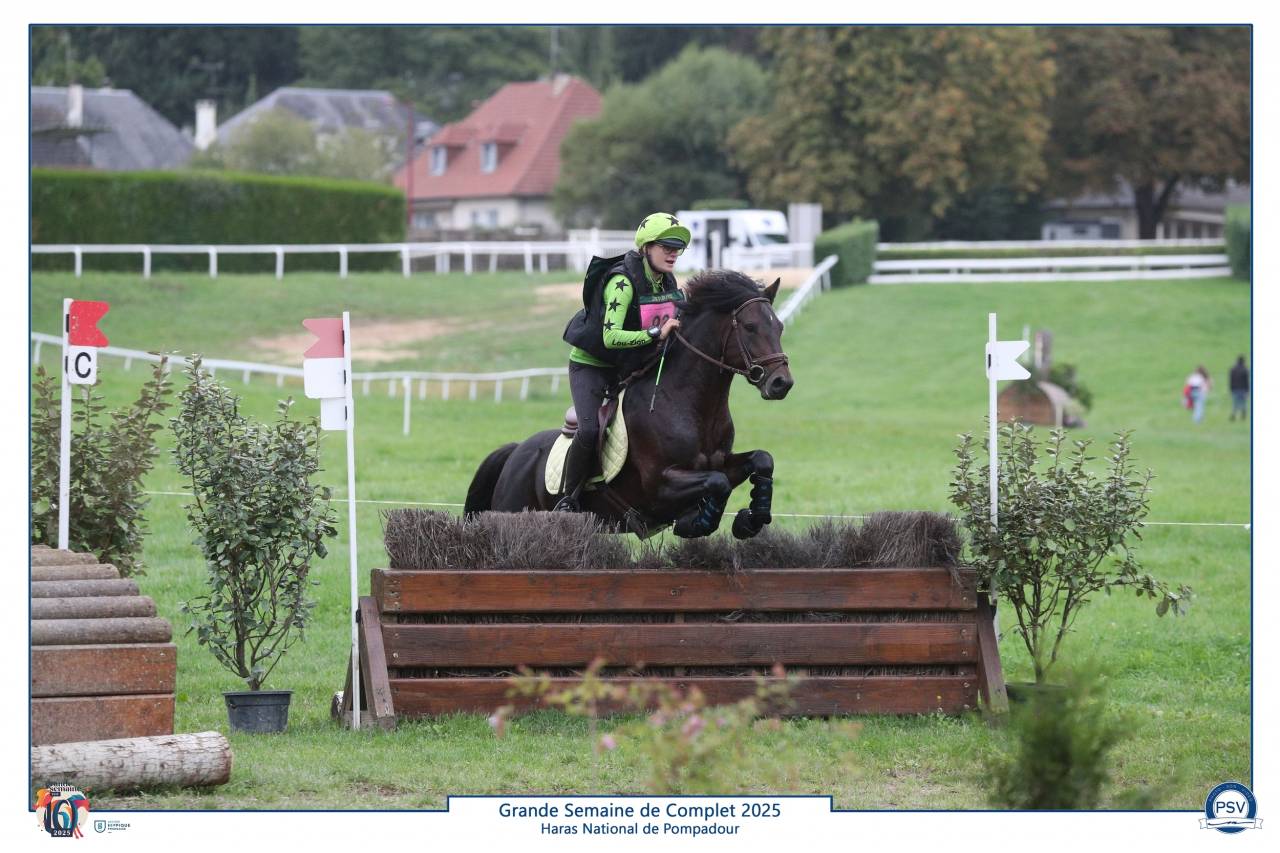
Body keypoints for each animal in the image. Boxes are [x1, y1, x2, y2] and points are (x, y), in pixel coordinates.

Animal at [463, 269, 794, 539]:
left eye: (779, 327)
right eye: (750, 327)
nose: (782, 383)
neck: (692, 406)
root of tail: (516, 452)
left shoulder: (722, 460)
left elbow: (761, 460)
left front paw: (749, 520)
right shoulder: (659, 484)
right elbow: (717, 482)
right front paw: (697, 522)